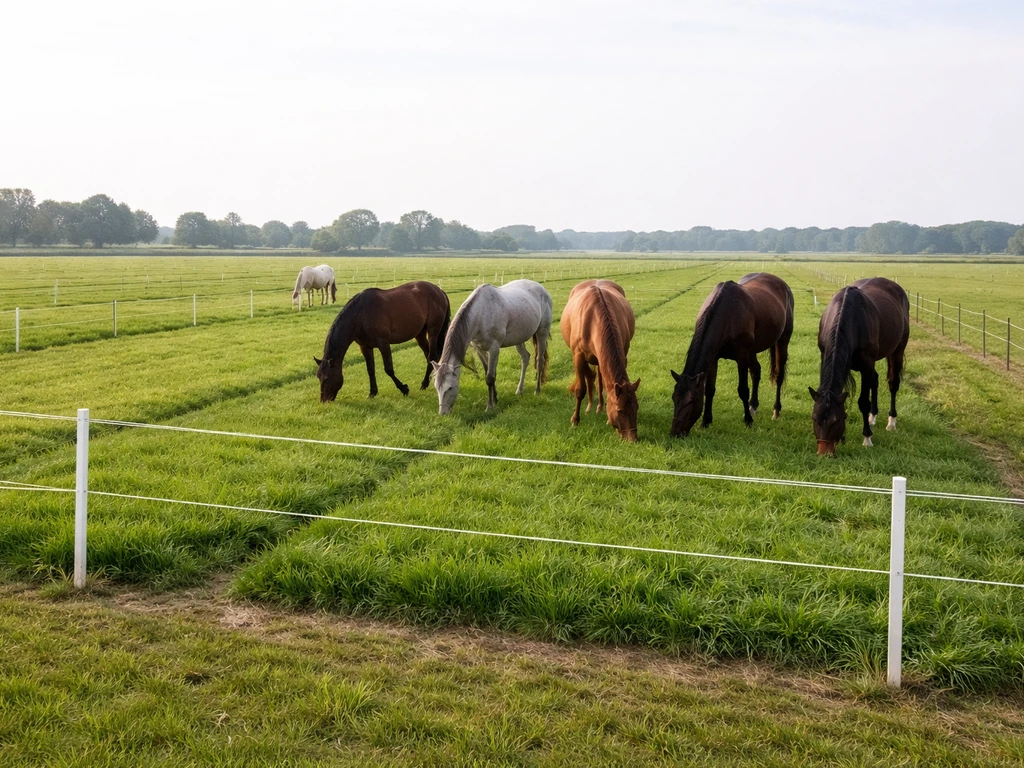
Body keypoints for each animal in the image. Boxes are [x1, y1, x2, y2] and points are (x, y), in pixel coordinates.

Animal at [315, 281, 450, 401]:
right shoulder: (365, 347)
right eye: (318, 376)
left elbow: (388, 369)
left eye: (327, 378)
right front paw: (372, 393)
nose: (324, 400)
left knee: (432, 356)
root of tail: (439, 291)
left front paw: (404, 389)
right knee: (430, 356)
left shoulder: (383, 343)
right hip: (420, 334)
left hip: (433, 331)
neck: (360, 314)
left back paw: (425, 383)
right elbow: (370, 370)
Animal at [433, 280, 552, 414]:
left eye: (450, 387)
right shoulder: (480, 349)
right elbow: (489, 373)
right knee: (525, 358)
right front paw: (495, 400)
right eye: (436, 387)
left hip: (542, 332)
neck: (481, 313)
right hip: (519, 339)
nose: (443, 413)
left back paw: (537, 390)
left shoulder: (494, 348)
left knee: (539, 360)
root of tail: (542, 288)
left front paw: (489, 406)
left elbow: (490, 377)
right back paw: (519, 390)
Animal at [560, 280, 639, 441]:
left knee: (600, 378)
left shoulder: (623, 354)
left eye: (636, 408)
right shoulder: (578, 357)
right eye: (620, 410)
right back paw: (590, 405)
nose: (633, 439)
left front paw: (607, 416)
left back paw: (599, 406)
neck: (594, 319)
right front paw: (575, 420)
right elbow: (580, 389)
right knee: (591, 376)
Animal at [670, 273, 794, 437]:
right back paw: (753, 406)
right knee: (756, 372)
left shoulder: (742, 357)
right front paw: (705, 422)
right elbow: (710, 390)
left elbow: (743, 390)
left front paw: (748, 422)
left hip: (782, 340)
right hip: (752, 351)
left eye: (690, 401)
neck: (727, 314)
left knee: (779, 376)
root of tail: (783, 284)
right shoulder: (714, 358)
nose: (675, 433)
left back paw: (776, 411)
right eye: (674, 398)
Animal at [809, 277, 909, 456]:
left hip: (897, 350)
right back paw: (873, 416)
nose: (824, 453)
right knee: (875, 381)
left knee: (893, 383)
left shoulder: (866, 364)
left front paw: (867, 437)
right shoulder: (824, 355)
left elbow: (863, 401)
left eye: (837, 420)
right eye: (815, 419)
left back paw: (891, 421)